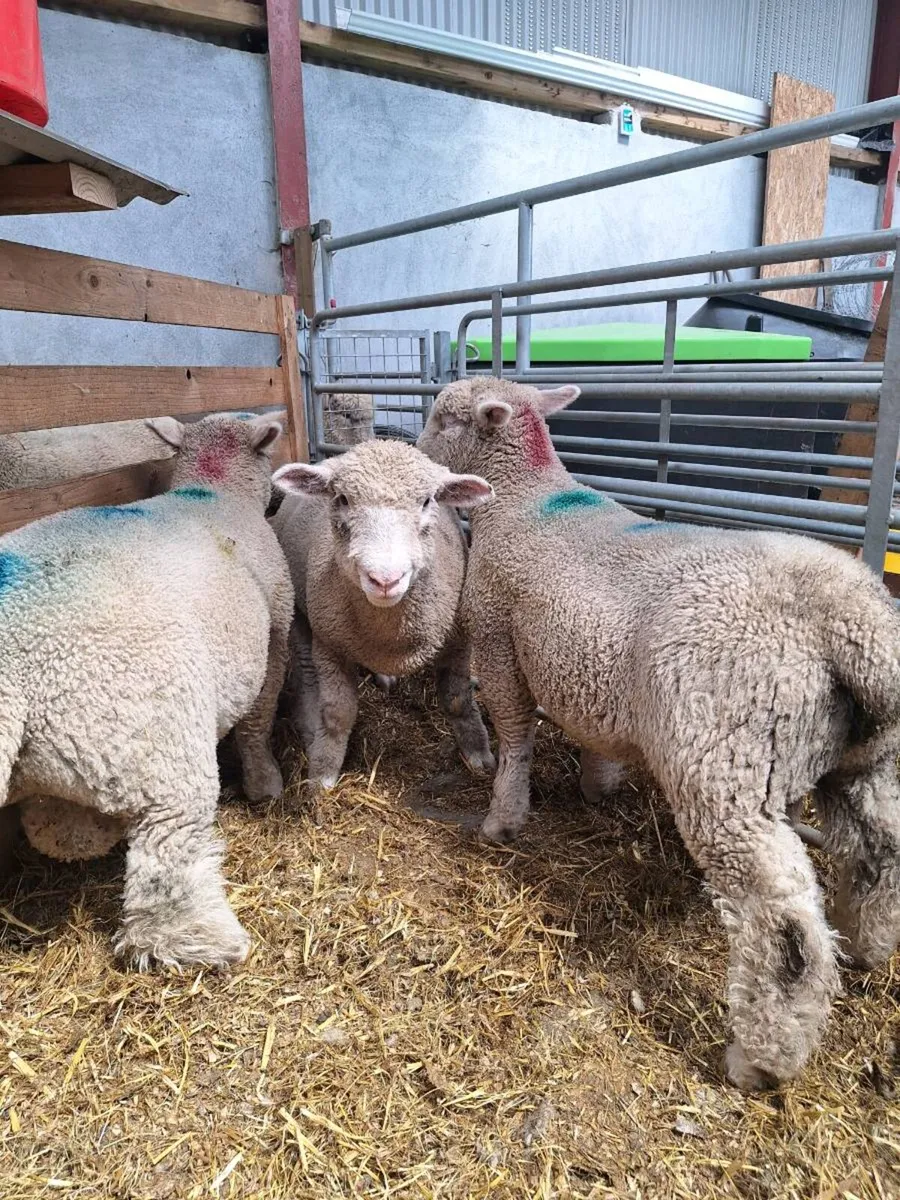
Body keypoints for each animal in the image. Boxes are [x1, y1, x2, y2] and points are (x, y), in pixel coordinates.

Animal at [0, 411, 294, 968]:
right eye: (270, 451)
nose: (279, 500)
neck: (213, 488)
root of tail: (15, 676)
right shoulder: (278, 629)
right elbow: (258, 719)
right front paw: (266, 780)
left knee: (58, 829)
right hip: (155, 737)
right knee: (166, 860)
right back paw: (202, 941)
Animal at [270, 439, 496, 788]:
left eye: (427, 500)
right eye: (342, 499)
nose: (385, 580)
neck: (391, 632)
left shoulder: (458, 642)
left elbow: (458, 700)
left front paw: (478, 755)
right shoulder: (331, 646)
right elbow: (337, 713)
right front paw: (324, 773)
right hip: (301, 613)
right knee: (306, 672)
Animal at [417, 376, 900, 1092]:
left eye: (443, 418)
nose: (419, 458)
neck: (526, 496)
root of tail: (848, 619)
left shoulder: (499, 644)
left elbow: (515, 739)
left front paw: (503, 819)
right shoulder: (578, 664)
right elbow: (590, 734)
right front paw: (599, 785)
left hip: (724, 764)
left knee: (784, 922)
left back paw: (762, 1057)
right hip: (860, 758)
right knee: (882, 848)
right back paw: (867, 945)